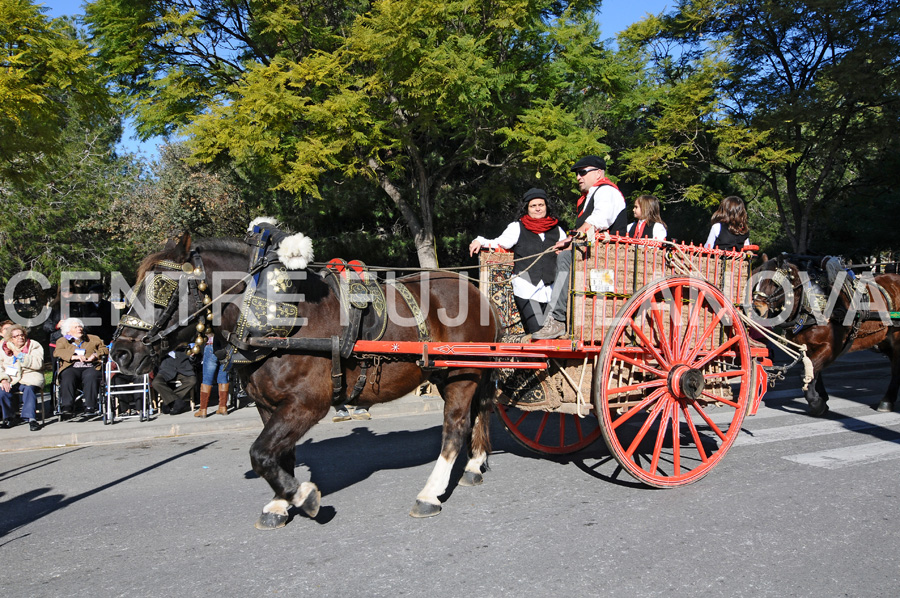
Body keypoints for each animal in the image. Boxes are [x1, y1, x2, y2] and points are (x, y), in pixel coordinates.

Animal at [110, 232, 500, 532]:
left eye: (162, 287)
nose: (123, 353)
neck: (270, 317)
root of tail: (476, 291)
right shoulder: (268, 405)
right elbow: (278, 454)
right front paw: (279, 503)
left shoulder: (307, 403)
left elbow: (260, 453)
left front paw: (304, 496)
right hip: (457, 373)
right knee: (478, 414)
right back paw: (474, 466)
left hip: (460, 375)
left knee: (455, 427)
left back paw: (429, 493)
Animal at [752, 256, 900, 418]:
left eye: (772, 282)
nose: (757, 309)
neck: (809, 304)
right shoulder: (807, 348)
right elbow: (814, 373)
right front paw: (821, 397)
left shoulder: (830, 347)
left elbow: (805, 373)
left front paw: (816, 403)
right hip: (884, 341)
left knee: (896, 369)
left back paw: (886, 401)